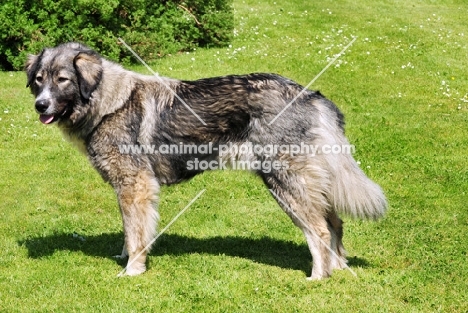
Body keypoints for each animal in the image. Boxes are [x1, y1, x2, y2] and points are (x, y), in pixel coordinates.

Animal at [24, 41, 388, 278]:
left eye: (63, 79)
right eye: (39, 80)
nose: (40, 105)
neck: (106, 101)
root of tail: (310, 96)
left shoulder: (136, 185)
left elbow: (137, 233)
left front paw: (133, 270)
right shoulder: (126, 188)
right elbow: (130, 231)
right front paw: (126, 257)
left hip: (284, 182)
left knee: (320, 230)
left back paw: (318, 277)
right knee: (335, 222)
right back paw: (339, 269)